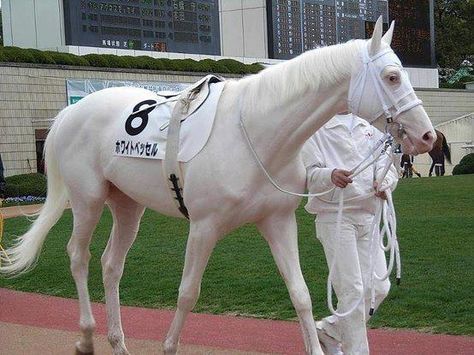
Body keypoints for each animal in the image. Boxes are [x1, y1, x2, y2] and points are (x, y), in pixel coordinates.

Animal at [0, 20, 436, 355]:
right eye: (392, 76)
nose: (428, 136)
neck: (254, 133)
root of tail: (71, 111)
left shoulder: (278, 221)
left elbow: (300, 294)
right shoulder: (204, 226)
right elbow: (188, 293)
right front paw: (169, 346)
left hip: (127, 205)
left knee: (111, 265)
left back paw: (118, 342)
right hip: (87, 200)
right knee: (78, 256)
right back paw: (87, 337)